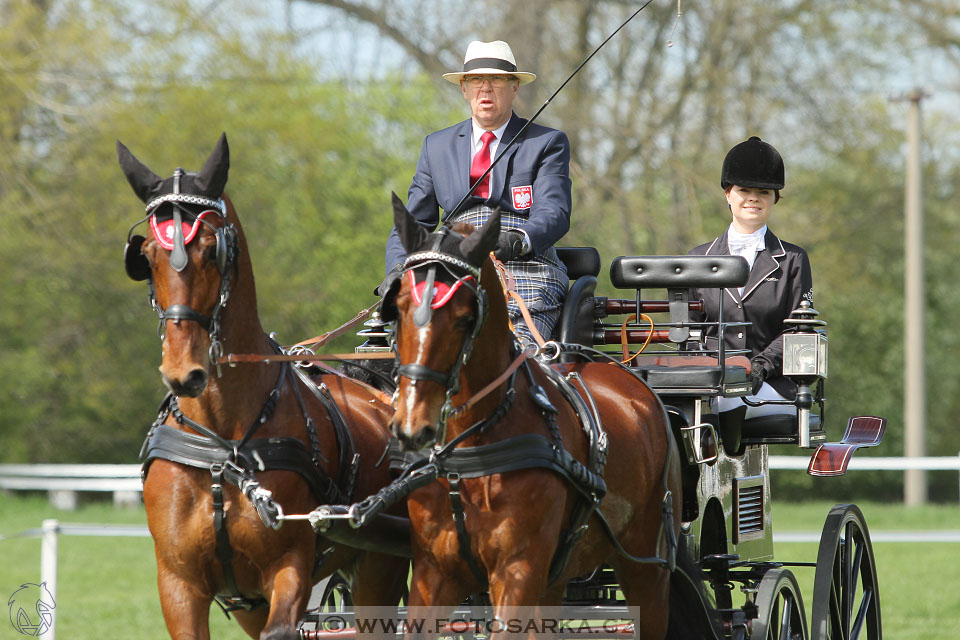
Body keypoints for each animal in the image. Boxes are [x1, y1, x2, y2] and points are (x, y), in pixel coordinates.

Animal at [118, 132, 406, 636]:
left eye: (210, 247)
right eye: (147, 257)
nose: (184, 371)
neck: (223, 445)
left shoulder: (289, 566)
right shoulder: (179, 582)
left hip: (380, 570)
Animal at [382, 196, 684, 640]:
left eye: (465, 316)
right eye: (399, 308)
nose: (412, 425)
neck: (473, 448)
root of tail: (633, 382)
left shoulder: (517, 572)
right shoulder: (434, 573)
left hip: (647, 568)